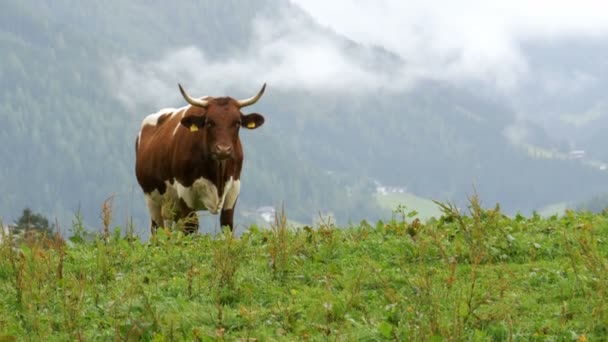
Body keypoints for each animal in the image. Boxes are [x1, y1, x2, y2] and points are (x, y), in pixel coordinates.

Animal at [135, 83, 266, 235]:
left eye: (237, 123)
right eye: (209, 122)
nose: (223, 149)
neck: (217, 175)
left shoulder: (234, 188)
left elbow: (227, 225)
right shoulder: (185, 191)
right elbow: (191, 227)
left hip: (171, 206)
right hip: (152, 199)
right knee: (158, 229)